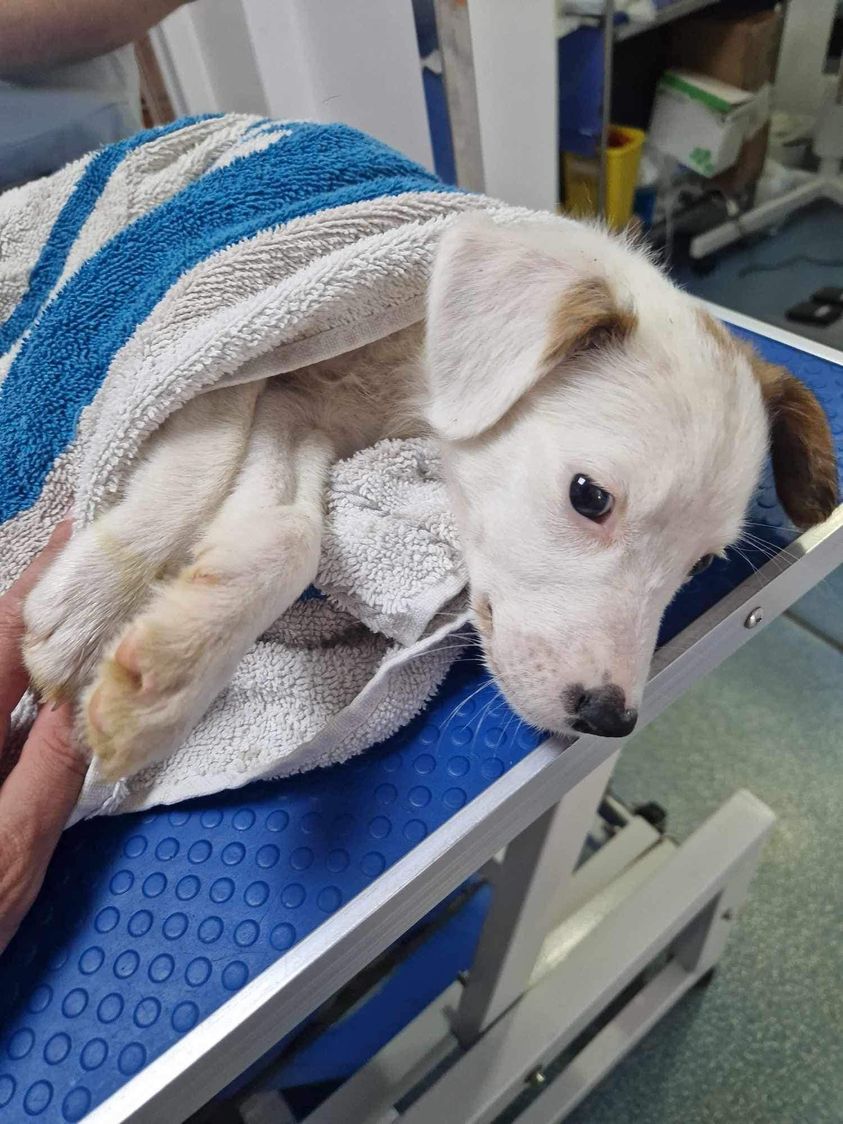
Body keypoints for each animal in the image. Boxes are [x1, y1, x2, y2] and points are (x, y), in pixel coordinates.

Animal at [22, 214, 838, 780]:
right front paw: (92, 610)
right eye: (589, 497)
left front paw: (176, 662)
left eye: (701, 566)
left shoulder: (294, 408)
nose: (609, 719)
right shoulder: (239, 368)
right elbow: (197, 469)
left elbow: (286, 533)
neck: (410, 364)